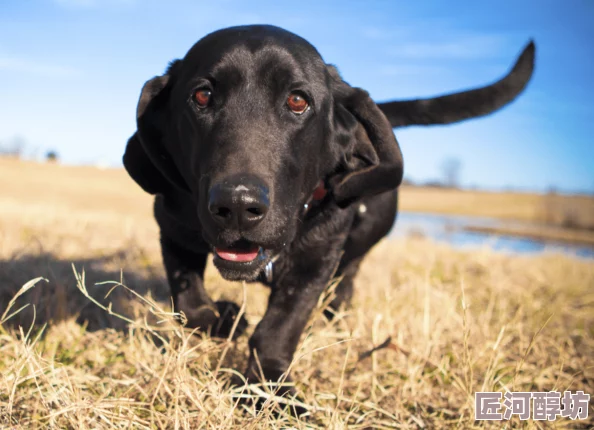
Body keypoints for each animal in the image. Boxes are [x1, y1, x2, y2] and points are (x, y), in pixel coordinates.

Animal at [122, 26, 536, 396]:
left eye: (298, 101)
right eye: (203, 95)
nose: (237, 205)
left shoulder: (316, 261)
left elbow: (279, 329)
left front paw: (272, 388)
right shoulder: (174, 227)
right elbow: (188, 299)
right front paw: (221, 318)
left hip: (353, 254)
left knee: (344, 287)